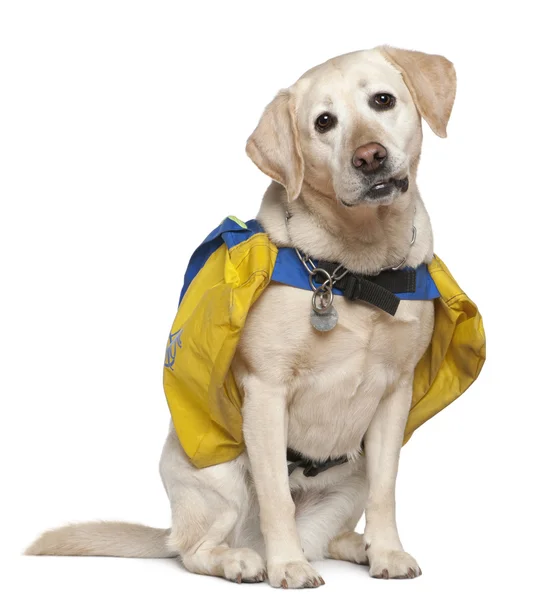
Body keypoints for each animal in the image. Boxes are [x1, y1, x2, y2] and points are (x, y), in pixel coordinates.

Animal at [27, 45, 456, 584]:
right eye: (324, 122)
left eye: (383, 100)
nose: (369, 156)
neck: (354, 272)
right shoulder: (267, 392)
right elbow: (276, 498)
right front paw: (287, 566)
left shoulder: (394, 395)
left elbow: (386, 491)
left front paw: (386, 553)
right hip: (218, 477)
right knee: (195, 549)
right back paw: (243, 560)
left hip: (349, 478)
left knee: (328, 536)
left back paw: (355, 546)